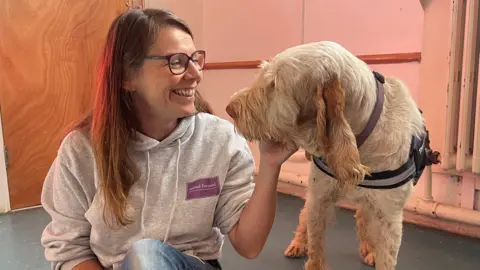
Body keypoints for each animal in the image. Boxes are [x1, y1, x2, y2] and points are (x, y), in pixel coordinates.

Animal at [225, 40, 428, 270]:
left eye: (274, 84)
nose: (230, 109)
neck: (360, 140)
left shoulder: (389, 218)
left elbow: (386, 256)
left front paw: (376, 252)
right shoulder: (319, 200)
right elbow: (315, 247)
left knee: (363, 216)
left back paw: (369, 248)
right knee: (305, 215)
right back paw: (298, 243)